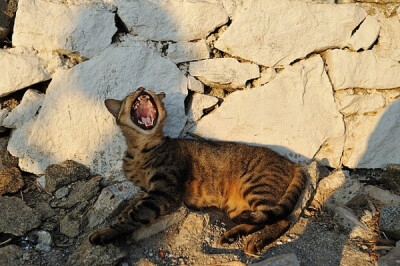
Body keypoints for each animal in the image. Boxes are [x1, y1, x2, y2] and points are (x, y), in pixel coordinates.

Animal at [88, 88, 306, 256]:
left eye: (147, 91)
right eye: (131, 94)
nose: (142, 88)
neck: (139, 150)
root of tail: (293, 163)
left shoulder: (162, 190)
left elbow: (134, 215)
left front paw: (105, 233)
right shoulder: (145, 189)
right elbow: (129, 209)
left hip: (255, 186)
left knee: (282, 220)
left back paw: (255, 242)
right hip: (239, 208)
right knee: (260, 219)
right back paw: (232, 236)